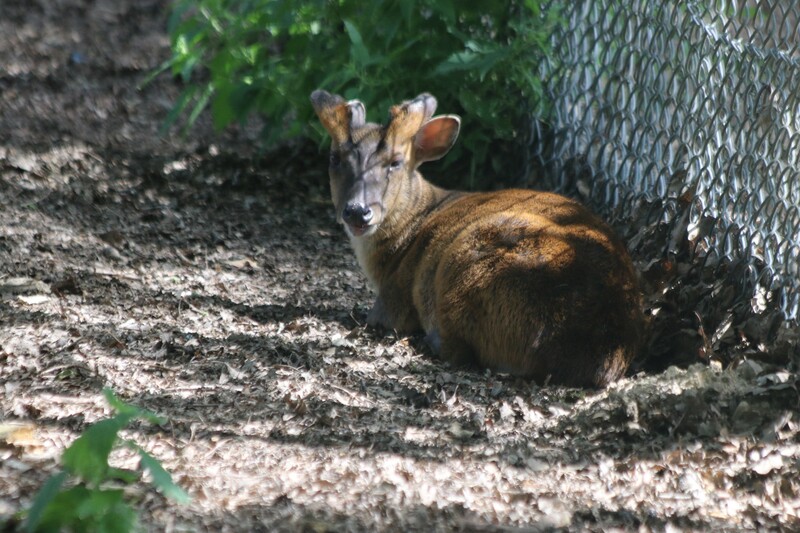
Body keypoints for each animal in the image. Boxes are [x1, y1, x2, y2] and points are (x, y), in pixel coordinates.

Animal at [310, 89, 648, 384]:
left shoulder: (394, 299)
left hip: (470, 263)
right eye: (334, 159)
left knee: (459, 349)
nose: (357, 211)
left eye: (395, 162)